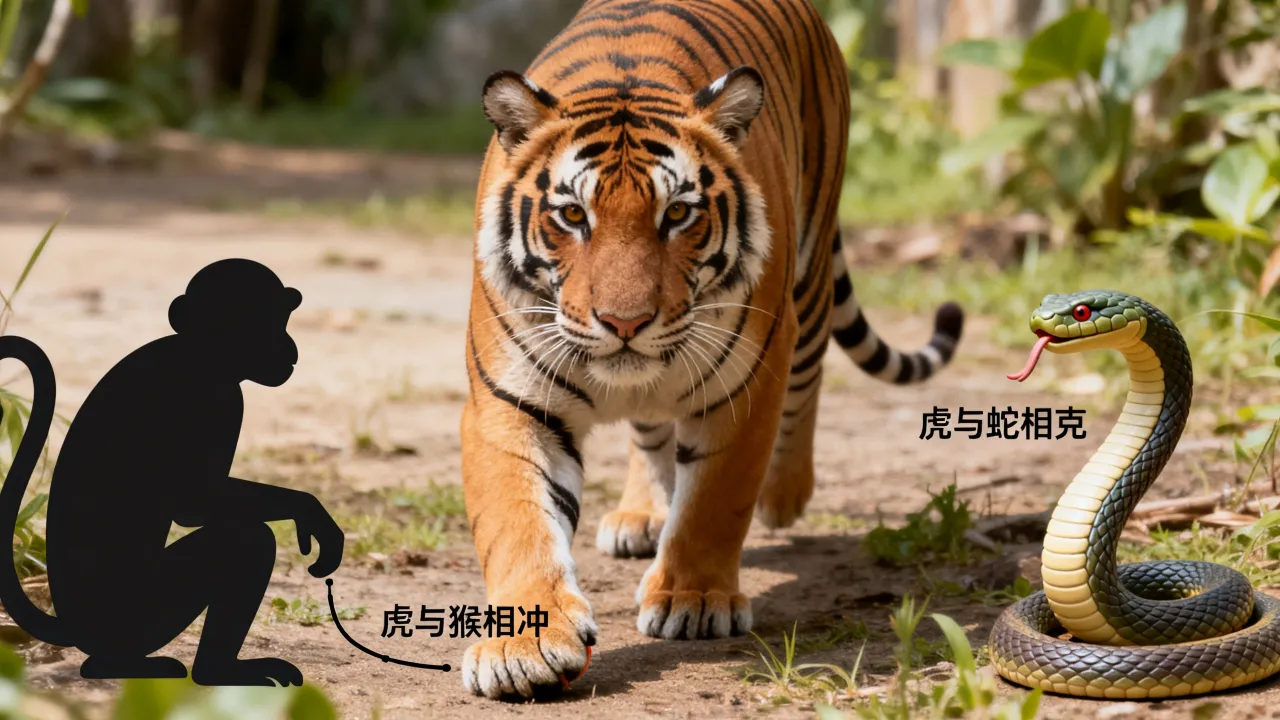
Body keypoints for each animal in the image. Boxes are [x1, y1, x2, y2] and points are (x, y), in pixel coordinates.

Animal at [460, 0, 964, 699]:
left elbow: (713, 502)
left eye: (677, 214)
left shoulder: (744, 385)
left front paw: (693, 600)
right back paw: (641, 515)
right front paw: (522, 645)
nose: (624, 322)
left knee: (806, 383)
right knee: (649, 423)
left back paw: (784, 493)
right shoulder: (510, 403)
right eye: (572, 216)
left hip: (807, 285)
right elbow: (517, 521)